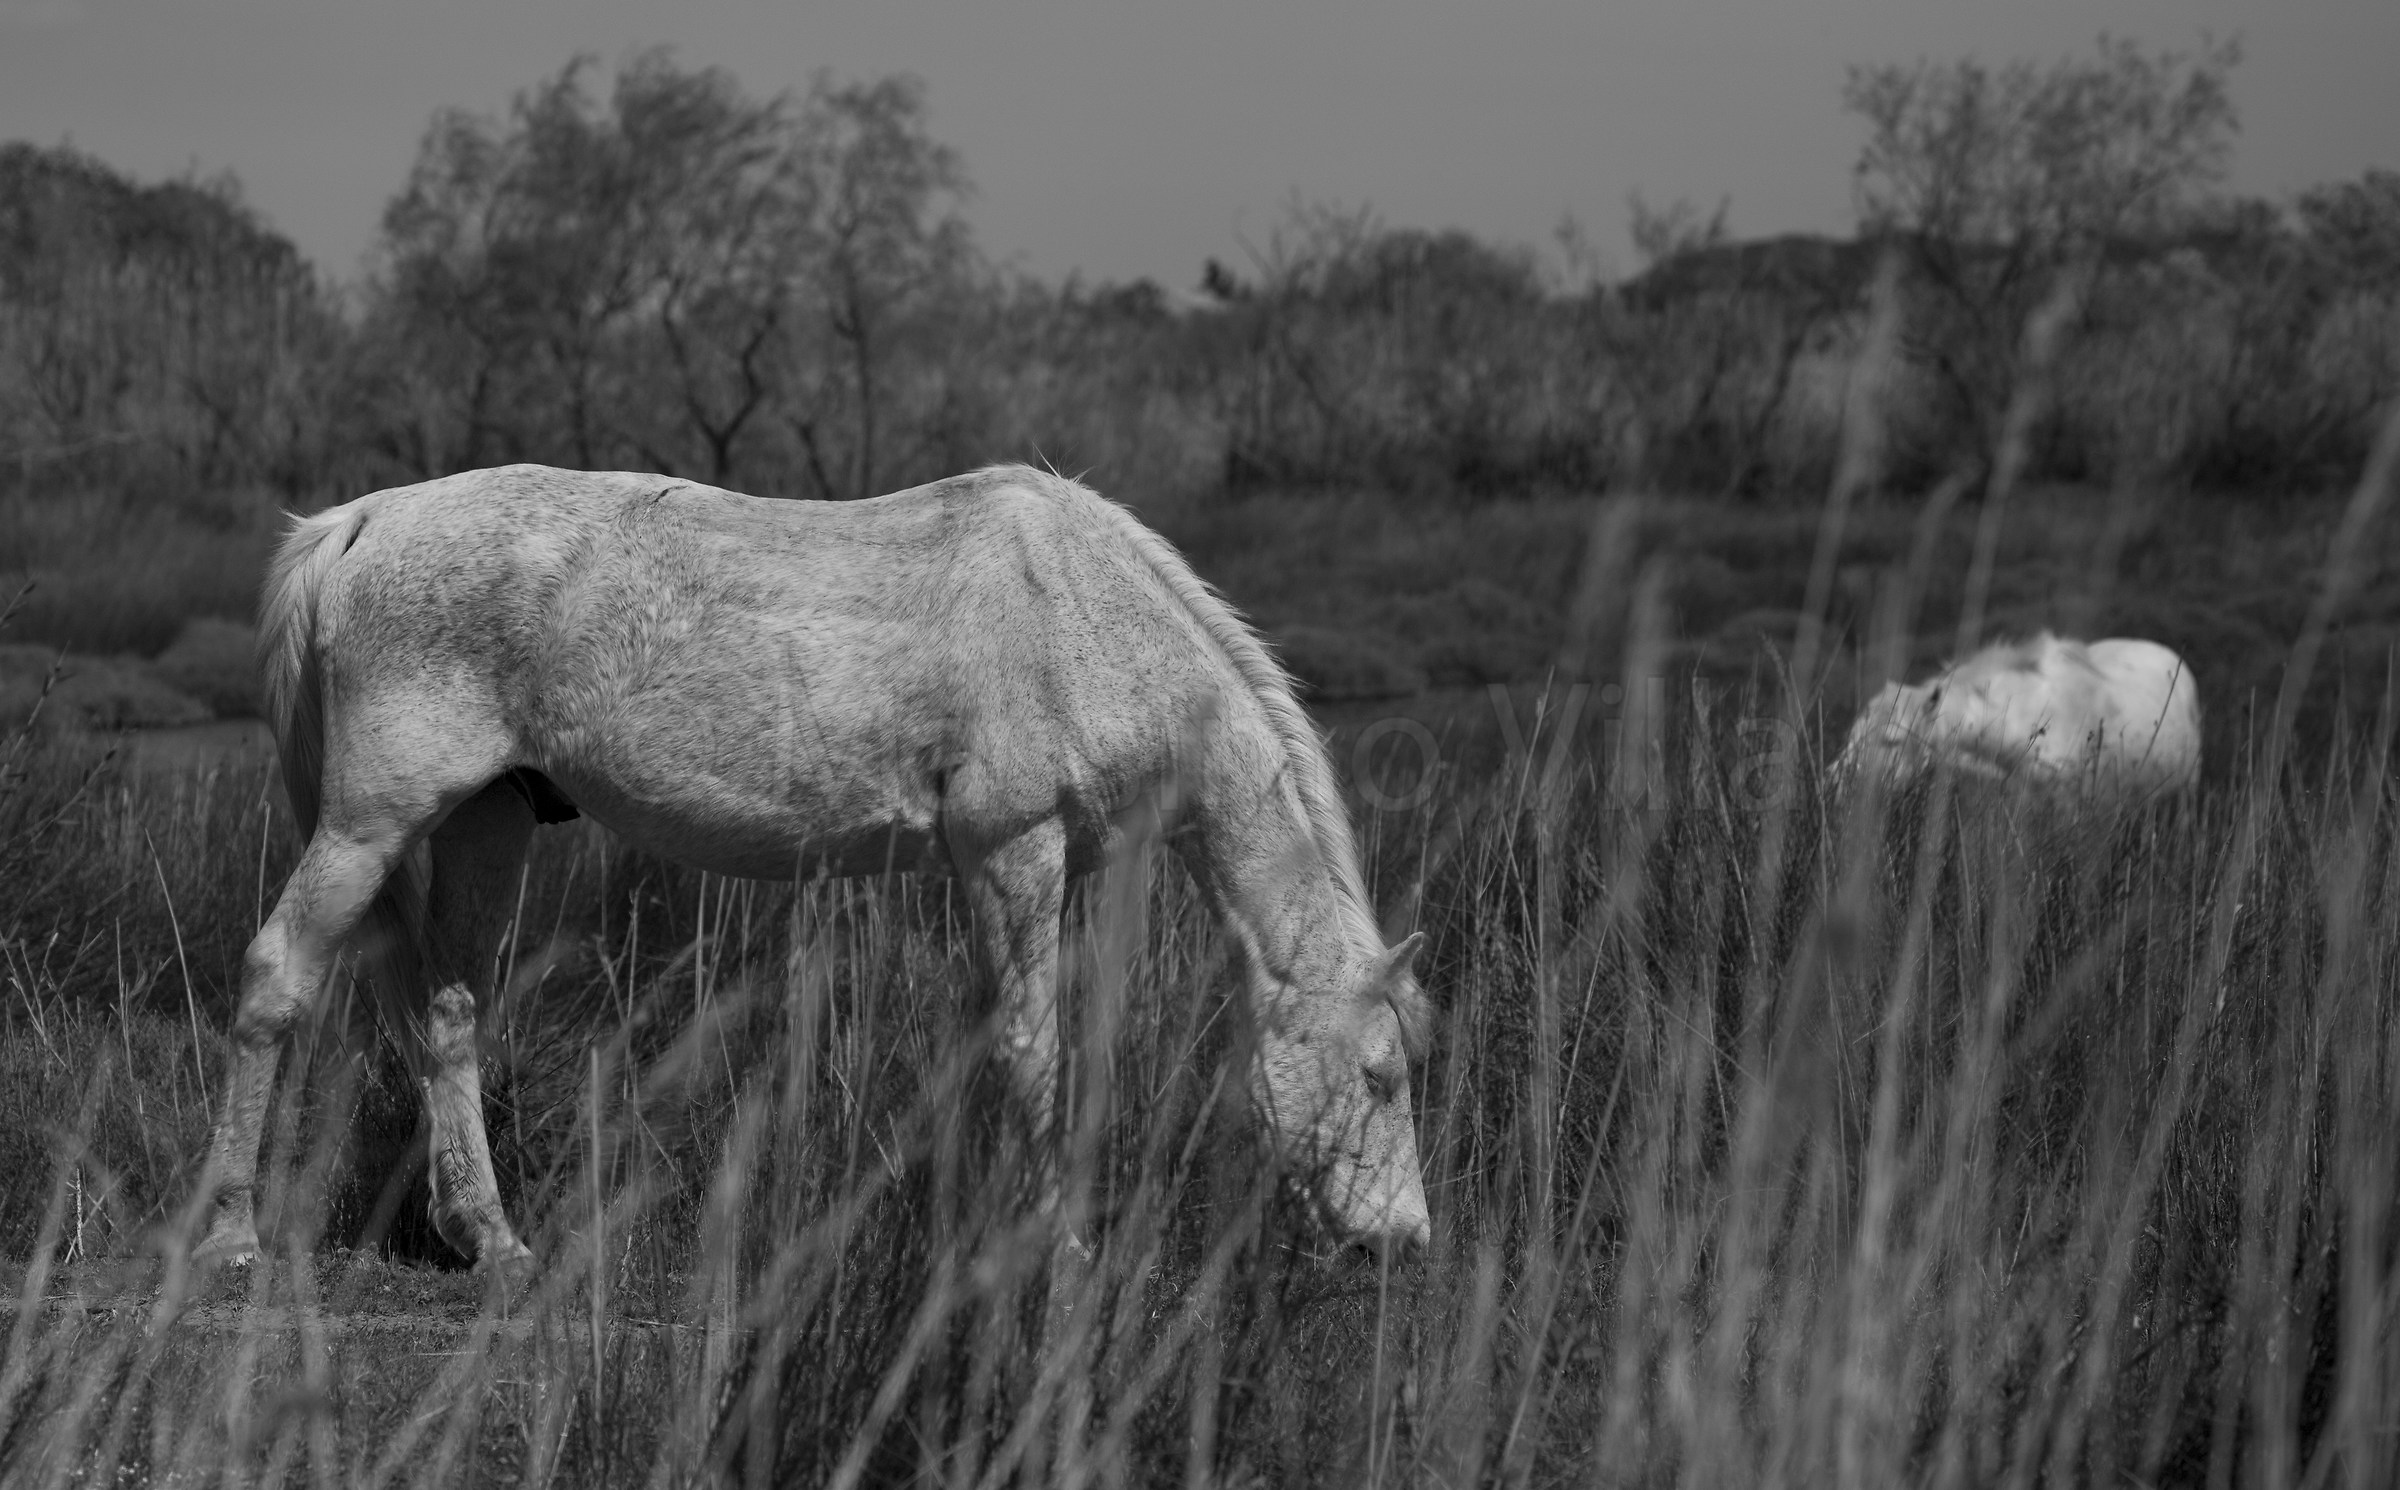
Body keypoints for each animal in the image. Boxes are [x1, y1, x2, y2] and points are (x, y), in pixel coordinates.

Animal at [195, 463, 1432, 1271]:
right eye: (1381, 1075)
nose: (1403, 1240)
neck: (1080, 610)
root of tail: (360, 521)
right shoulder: (1015, 850)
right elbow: (1038, 1050)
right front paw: (1062, 1239)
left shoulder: (1036, 869)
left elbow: (1014, 1045)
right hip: (371, 822)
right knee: (276, 978)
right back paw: (230, 1235)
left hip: (484, 824)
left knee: (450, 1011)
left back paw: (493, 1241)